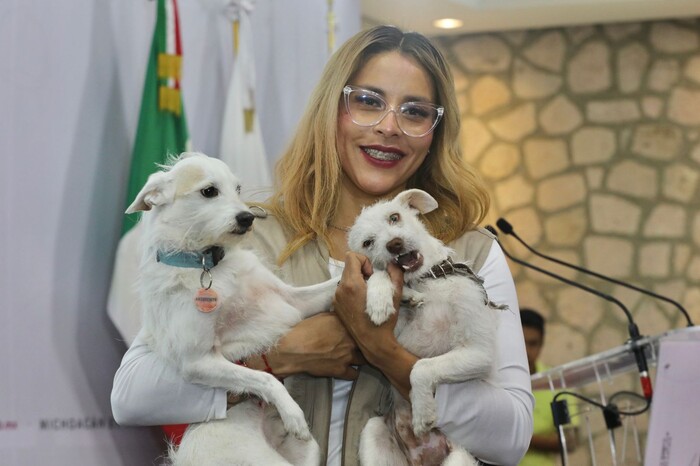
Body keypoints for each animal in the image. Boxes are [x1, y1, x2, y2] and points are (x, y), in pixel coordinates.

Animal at [348, 189, 506, 466]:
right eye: (368, 243)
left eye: (394, 217)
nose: (394, 244)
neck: (427, 281)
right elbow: (380, 274)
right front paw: (380, 298)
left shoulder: (479, 352)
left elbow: (421, 368)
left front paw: (422, 411)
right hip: (373, 433)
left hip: (460, 458)